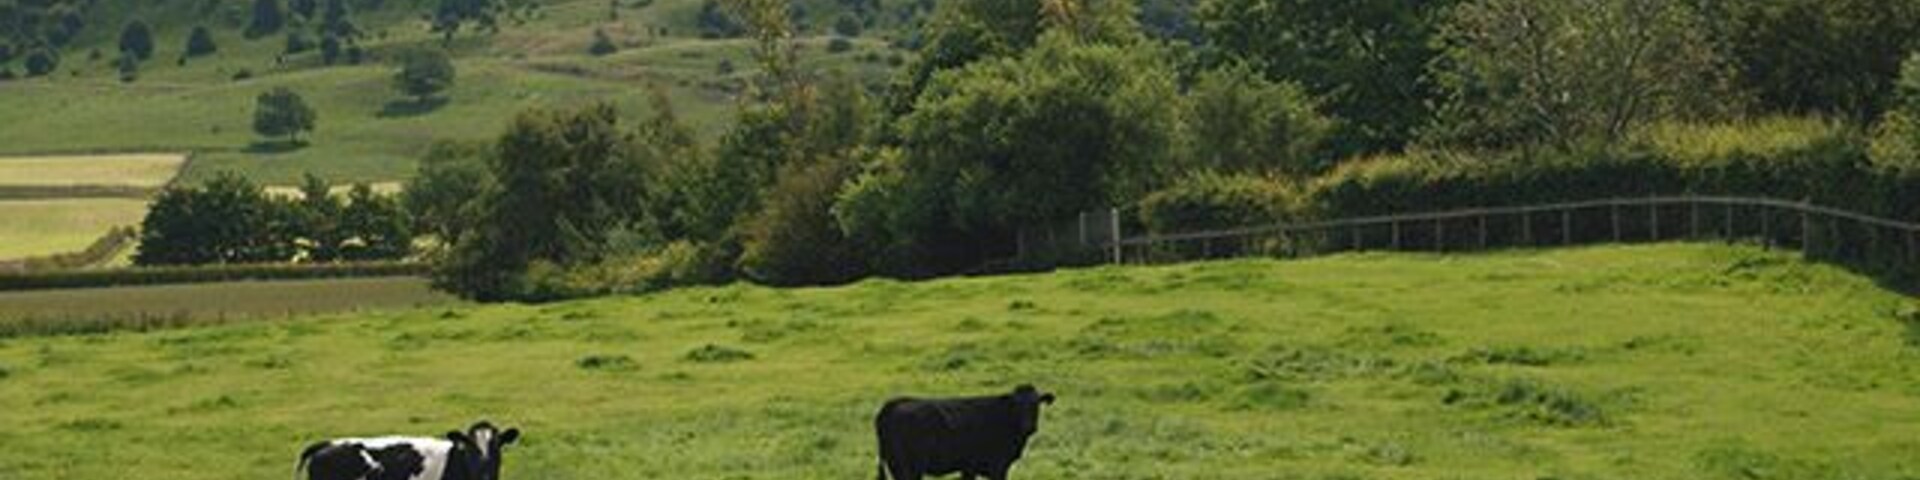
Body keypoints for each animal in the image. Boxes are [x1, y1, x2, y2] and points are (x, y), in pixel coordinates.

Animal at [874, 384, 1057, 480]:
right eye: (1017, 405)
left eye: (1036, 404)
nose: (1029, 426)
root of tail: (896, 403)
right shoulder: (998, 467)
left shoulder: (969, 468)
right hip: (909, 468)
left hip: (895, 465)